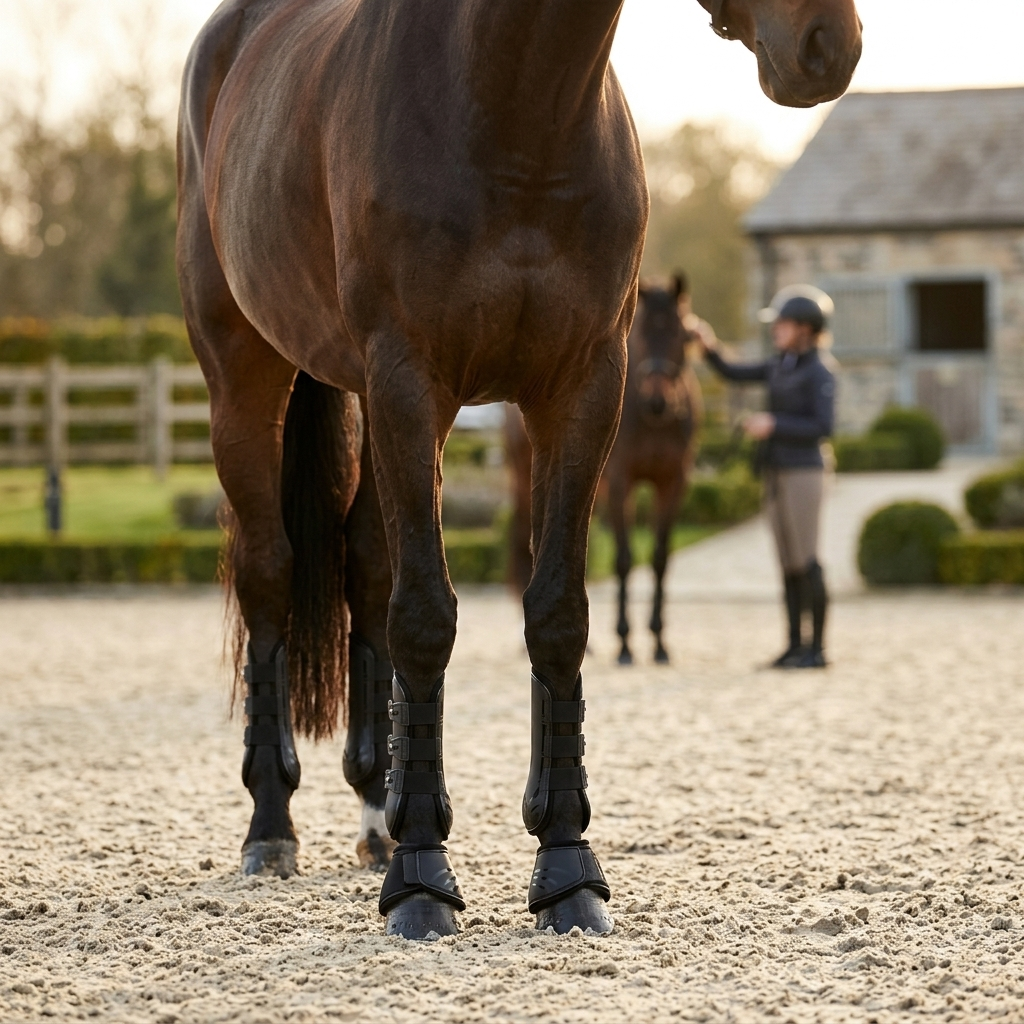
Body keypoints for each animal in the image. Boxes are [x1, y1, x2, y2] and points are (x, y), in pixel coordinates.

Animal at [177, 0, 862, 940]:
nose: (827, 45)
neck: (513, 109)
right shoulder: (410, 382)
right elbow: (426, 617)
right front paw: (424, 881)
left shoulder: (581, 392)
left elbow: (557, 615)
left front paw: (567, 870)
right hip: (246, 379)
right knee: (271, 576)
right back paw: (273, 826)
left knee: (366, 570)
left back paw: (375, 815)